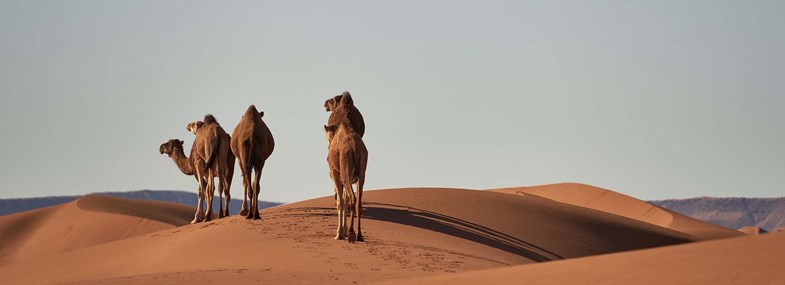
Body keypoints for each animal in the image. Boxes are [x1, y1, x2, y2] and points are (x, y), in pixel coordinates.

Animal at [322, 94, 368, 241]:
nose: (325, 103)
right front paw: (344, 231)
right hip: (362, 171)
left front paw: (340, 233)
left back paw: (352, 234)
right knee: (358, 201)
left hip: (345, 170)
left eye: (331, 100)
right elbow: (345, 200)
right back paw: (359, 235)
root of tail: (354, 148)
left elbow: (340, 201)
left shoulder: (335, 172)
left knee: (352, 199)